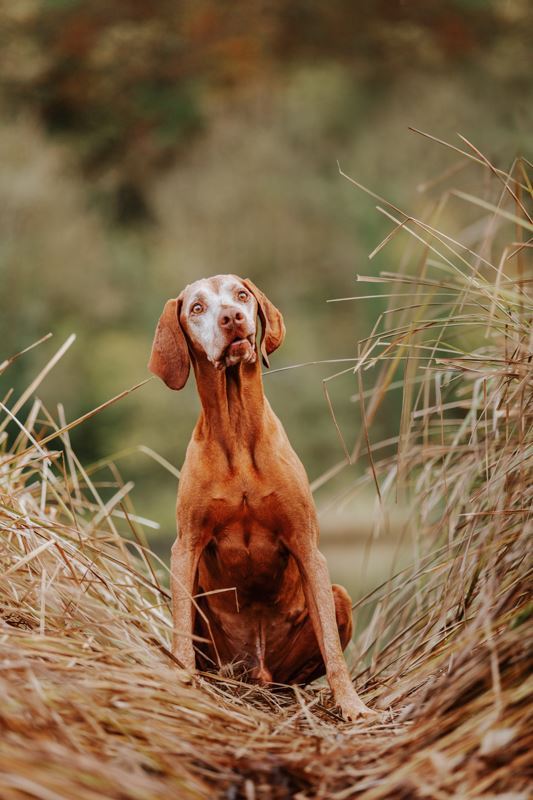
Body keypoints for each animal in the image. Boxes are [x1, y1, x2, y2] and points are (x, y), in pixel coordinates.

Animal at [148, 276, 372, 720]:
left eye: (241, 295)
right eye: (196, 308)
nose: (232, 318)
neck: (237, 431)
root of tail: (258, 672)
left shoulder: (307, 545)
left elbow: (333, 650)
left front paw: (352, 705)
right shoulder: (185, 548)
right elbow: (179, 635)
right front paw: (183, 684)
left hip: (338, 597)